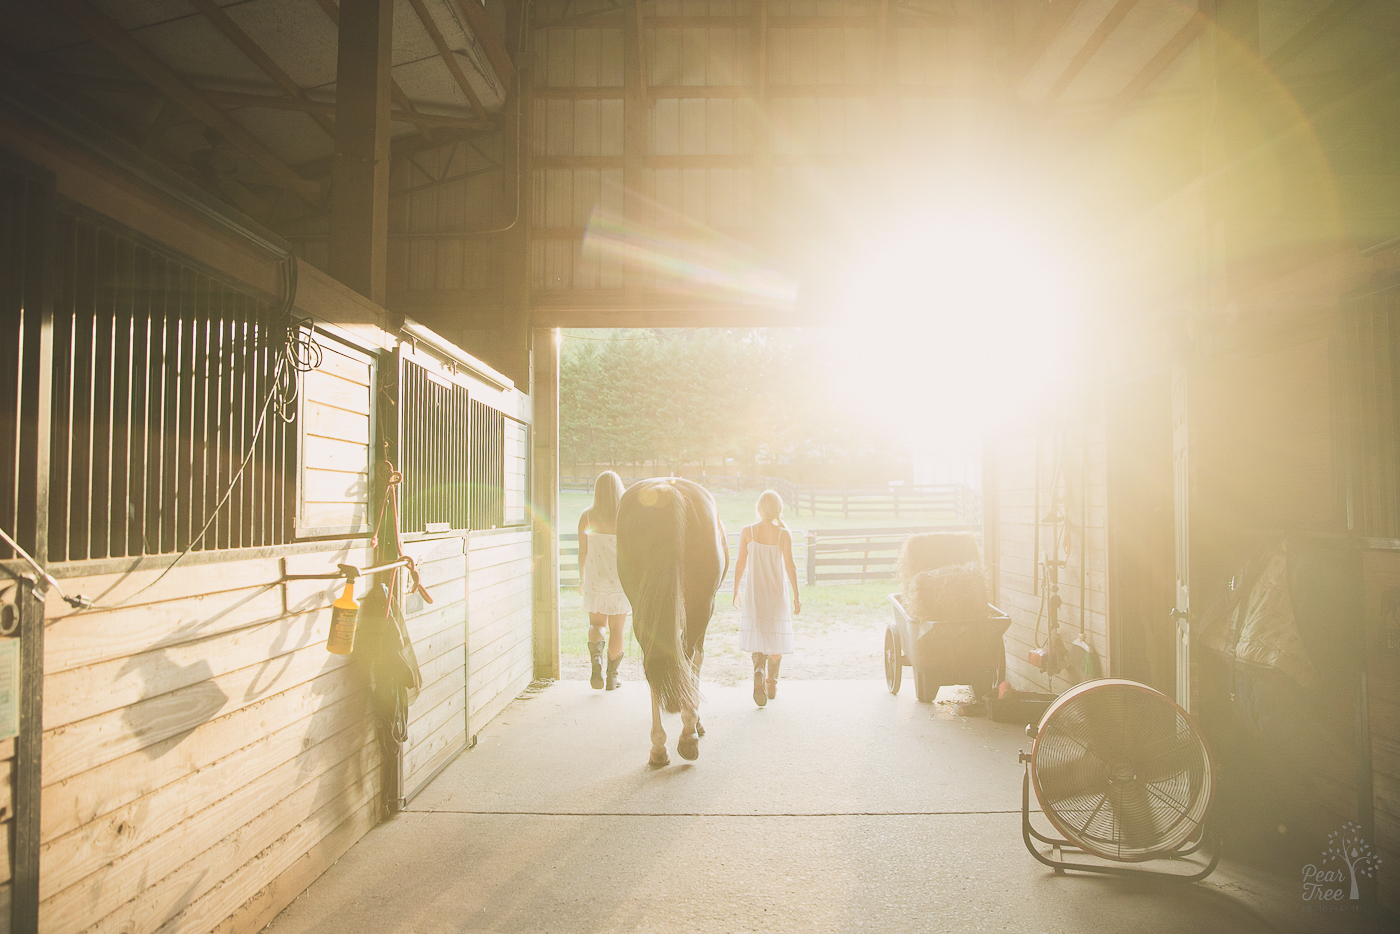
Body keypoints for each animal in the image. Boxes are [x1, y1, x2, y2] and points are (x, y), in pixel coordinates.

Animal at [618, 476, 728, 767]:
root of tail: (666, 489)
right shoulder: (706, 607)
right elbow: (696, 661)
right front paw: (695, 722)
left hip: (643, 605)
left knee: (653, 661)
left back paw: (658, 746)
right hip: (699, 606)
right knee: (687, 656)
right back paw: (688, 734)